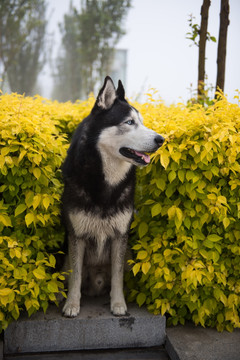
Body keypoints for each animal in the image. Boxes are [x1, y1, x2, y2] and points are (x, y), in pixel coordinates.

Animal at [61, 74, 164, 316]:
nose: (161, 140)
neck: (105, 182)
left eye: (142, 122)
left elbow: (117, 277)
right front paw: (72, 305)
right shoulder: (76, 235)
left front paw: (118, 305)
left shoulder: (120, 236)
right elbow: (75, 276)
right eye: (129, 122)